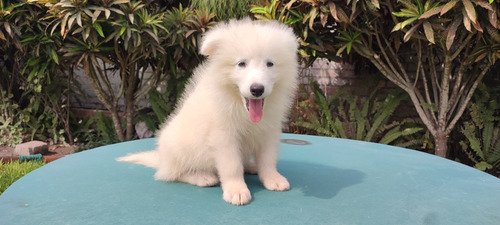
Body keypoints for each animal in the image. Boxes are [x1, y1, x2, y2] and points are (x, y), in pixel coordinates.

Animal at [117, 18, 296, 206]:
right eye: (241, 64)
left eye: (270, 64)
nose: (257, 89)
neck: (239, 106)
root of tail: (162, 159)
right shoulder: (224, 136)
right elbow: (232, 165)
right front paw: (236, 189)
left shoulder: (268, 131)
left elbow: (268, 158)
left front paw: (272, 178)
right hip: (178, 150)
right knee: (173, 174)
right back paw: (202, 177)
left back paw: (250, 166)